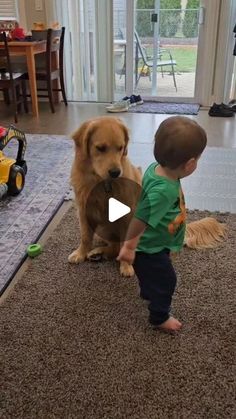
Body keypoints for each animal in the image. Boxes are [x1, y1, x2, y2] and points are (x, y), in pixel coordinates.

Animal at [69, 117, 227, 276]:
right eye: (100, 148)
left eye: (120, 148)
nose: (115, 172)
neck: (103, 184)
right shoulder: (84, 211)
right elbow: (85, 237)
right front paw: (80, 253)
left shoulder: (128, 216)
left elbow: (125, 243)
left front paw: (125, 265)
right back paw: (98, 253)